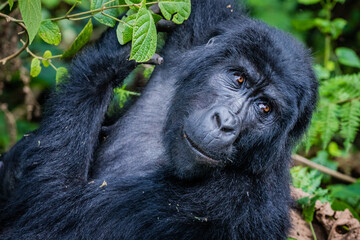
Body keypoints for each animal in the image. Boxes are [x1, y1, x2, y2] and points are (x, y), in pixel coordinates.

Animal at [0, 0, 316, 238]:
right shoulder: (204, 33)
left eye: (265, 108)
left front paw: (106, 58)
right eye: (239, 79)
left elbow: (52, 209)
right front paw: (121, 47)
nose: (225, 123)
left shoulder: (229, 202)